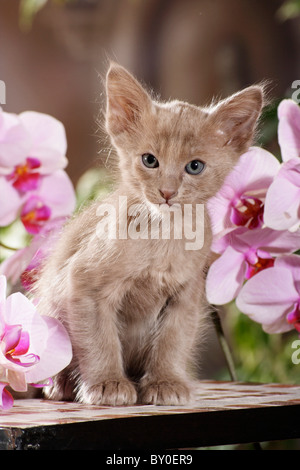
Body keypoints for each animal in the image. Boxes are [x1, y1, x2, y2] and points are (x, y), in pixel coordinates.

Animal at [34, 64, 264, 406]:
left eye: (194, 167)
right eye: (150, 160)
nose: (167, 192)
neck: (162, 237)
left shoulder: (185, 294)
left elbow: (172, 341)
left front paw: (166, 381)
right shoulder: (84, 283)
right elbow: (100, 339)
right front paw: (107, 383)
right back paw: (61, 384)